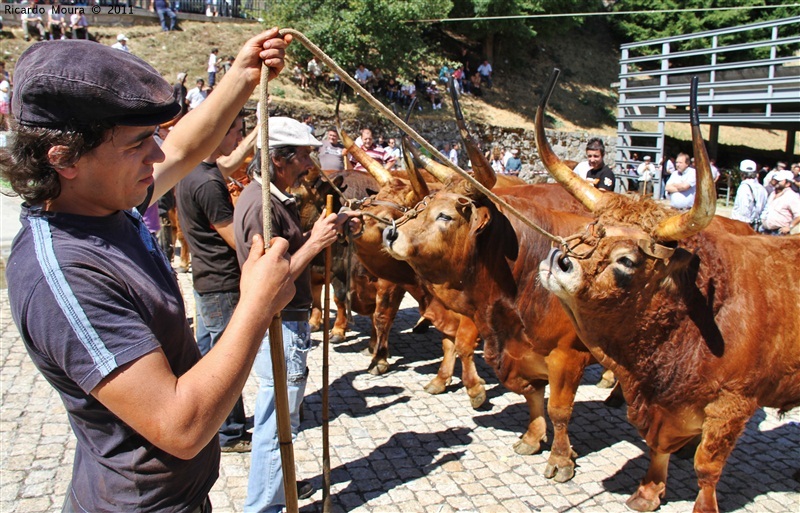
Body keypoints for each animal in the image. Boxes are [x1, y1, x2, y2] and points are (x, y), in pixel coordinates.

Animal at [536, 73, 800, 512]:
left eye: (627, 260)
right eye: (590, 229)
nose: (559, 260)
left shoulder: (733, 404)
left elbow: (707, 466)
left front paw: (703, 506)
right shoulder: (663, 404)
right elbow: (658, 446)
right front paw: (648, 491)